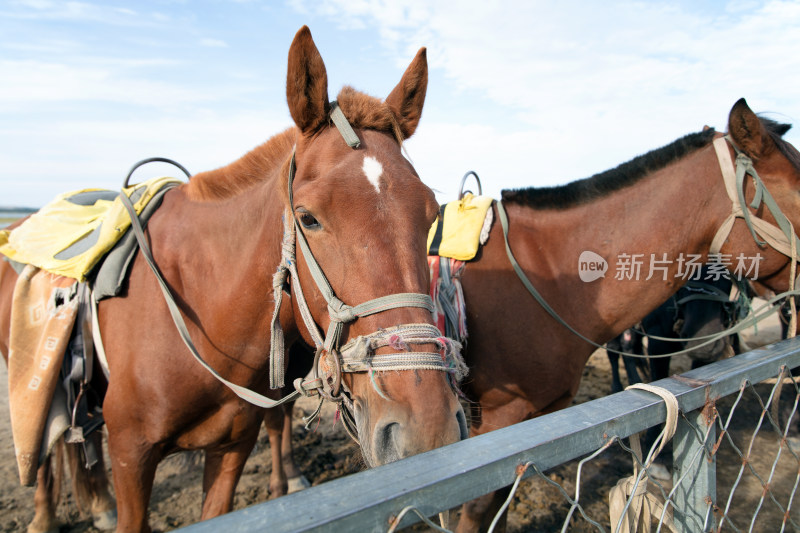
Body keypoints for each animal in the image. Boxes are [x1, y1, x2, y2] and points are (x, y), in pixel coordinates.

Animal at [0, 26, 466, 532]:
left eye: (430, 215)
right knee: (45, 452)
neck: (199, 310)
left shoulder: (231, 449)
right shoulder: (131, 454)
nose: (428, 430)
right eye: (308, 218)